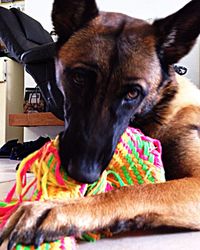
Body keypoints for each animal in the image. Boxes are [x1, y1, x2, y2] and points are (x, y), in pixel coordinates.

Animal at [1, 0, 200, 249]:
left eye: (133, 93)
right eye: (79, 78)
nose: (83, 173)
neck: (157, 111)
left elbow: (135, 190)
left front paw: (57, 208)